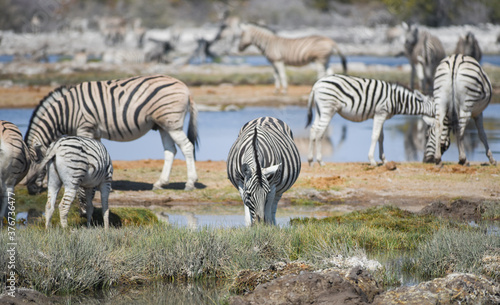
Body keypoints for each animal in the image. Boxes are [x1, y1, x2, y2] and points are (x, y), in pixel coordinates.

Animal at [24, 74, 198, 192]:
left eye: (34, 161)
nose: (30, 189)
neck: (65, 111)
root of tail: (186, 88)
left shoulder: (85, 127)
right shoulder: (95, 132)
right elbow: (99, 154)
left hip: (172, 122)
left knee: (187, 146)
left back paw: (190, 183)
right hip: (163, 125)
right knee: (170, 150)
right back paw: (160, 183)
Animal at [306, 75, 436, 167]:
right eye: (436, 106)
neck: (397, 100)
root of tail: (316, 84)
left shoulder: (380, 116)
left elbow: (381, 137)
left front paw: (384, 160)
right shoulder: (380, 114)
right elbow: (375, 136)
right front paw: (372, 160)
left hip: (319, 110)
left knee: (313, 129)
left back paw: (310, 161)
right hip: (328, 109)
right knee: (320, 132)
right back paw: (320, 161)